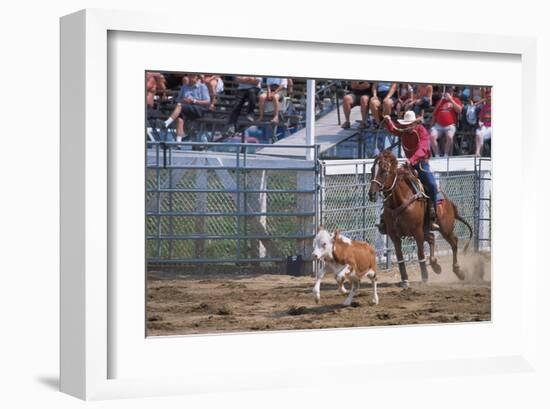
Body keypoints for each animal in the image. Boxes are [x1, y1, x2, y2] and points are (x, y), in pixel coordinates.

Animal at [368, 150, 472, 286]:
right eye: (372, 170)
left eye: (384, 171)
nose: (372, 194)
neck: (400, 200)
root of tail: (449, 203)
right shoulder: (394, 235)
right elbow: (400, 257)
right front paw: (405, 280)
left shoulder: (417, 232)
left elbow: (420, 253)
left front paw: (425, 277)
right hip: (427, 229)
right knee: (432, 238)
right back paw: (435, 265)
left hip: (445, 229)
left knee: (454, 242)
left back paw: (458, 271)